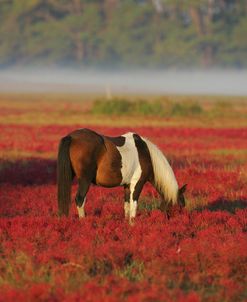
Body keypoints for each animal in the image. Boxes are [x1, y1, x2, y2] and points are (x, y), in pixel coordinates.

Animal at [57, 127, 186, 222]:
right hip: (85, 180)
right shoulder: (137, 183)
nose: (180, 222)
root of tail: (71, 137)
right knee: (80, 199)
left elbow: (127, 206)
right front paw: (132, 224)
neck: (145, 153)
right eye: (180, 207)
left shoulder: (127, 185)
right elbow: (134, 205)